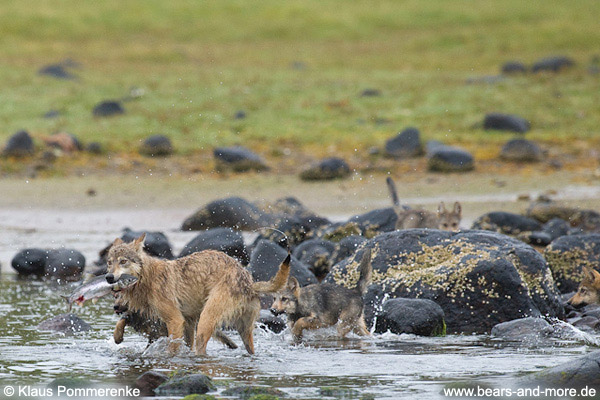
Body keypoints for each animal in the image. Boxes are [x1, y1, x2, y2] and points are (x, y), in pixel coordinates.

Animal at [106, 233, 290, 354]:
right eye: (109, 263)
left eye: (123, 261)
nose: (108, 277)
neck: (147, 277)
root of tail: (249, 282)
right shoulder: (187, 322)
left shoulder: (175, 321)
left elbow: (172, 349)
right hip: (242, 331)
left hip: (205, 322)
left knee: (202, 351)